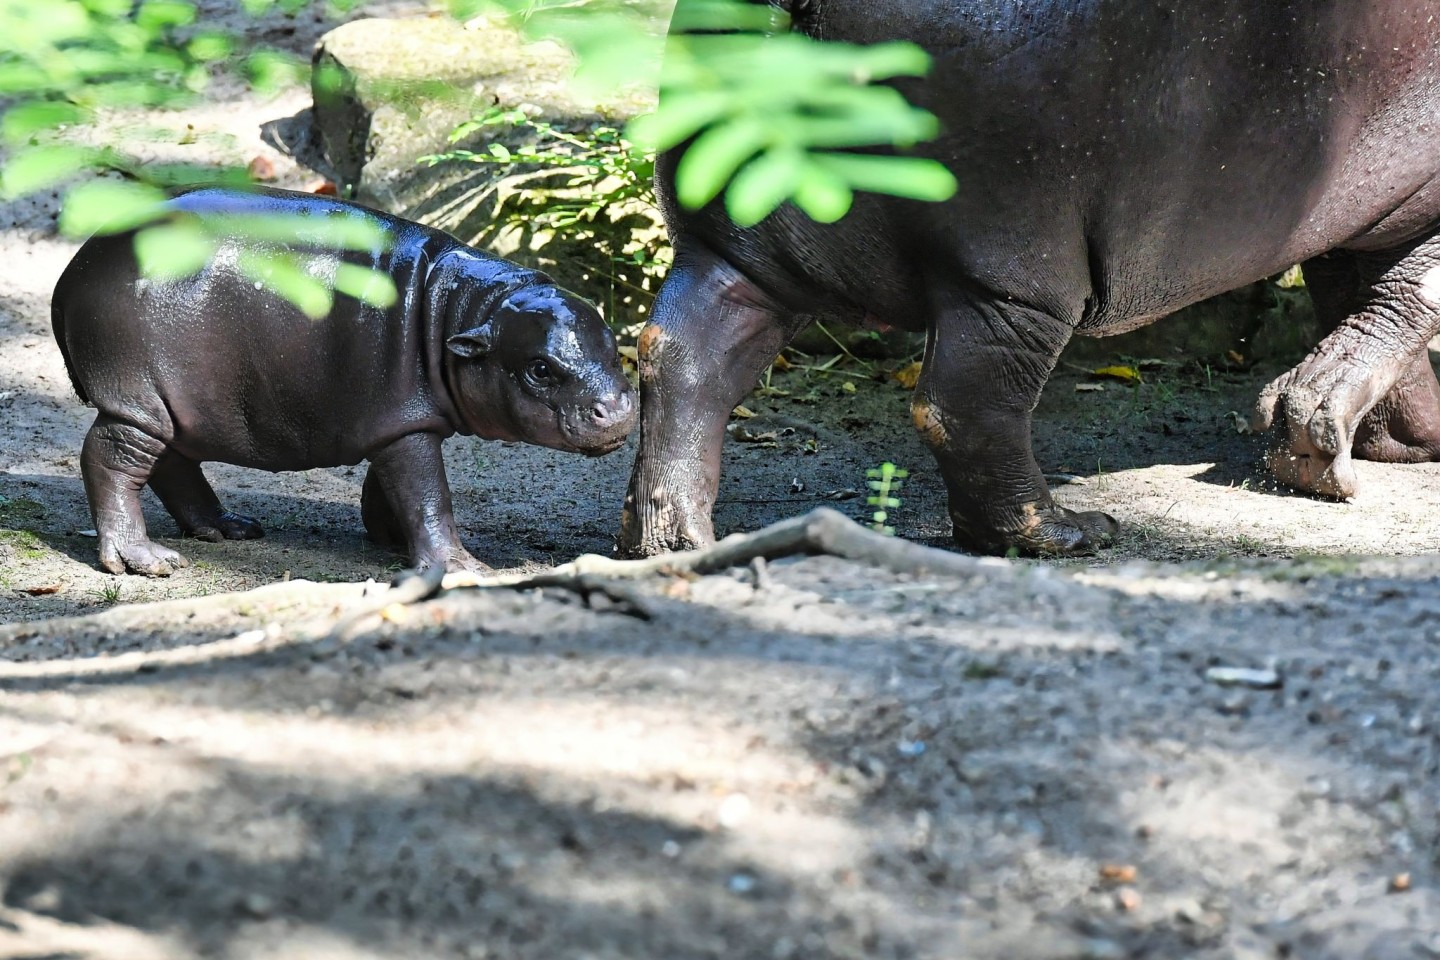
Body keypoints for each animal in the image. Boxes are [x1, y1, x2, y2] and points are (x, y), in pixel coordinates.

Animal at [53, 188, 633, 578]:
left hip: (176, 405)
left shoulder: (400, 420)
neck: (464, 309)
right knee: (112, 458)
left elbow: (396, 488)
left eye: (613, 343)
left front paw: (392, 541)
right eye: (540, 368)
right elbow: (429, 495)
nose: (618, 408)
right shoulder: (405, 425)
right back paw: (144, 561)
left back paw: (228, 527)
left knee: (172, 461)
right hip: (138, 399)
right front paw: (463, 567)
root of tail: (74, 269)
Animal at [619, 0, 1440, 558]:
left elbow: (1368, 304)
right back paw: (1067, 532)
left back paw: (671, 542)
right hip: (1014, 280)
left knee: (682, 358)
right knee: (964, 405)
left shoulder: (1362, 214)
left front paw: (1382, 439)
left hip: (730, 248)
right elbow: (1407, 303)